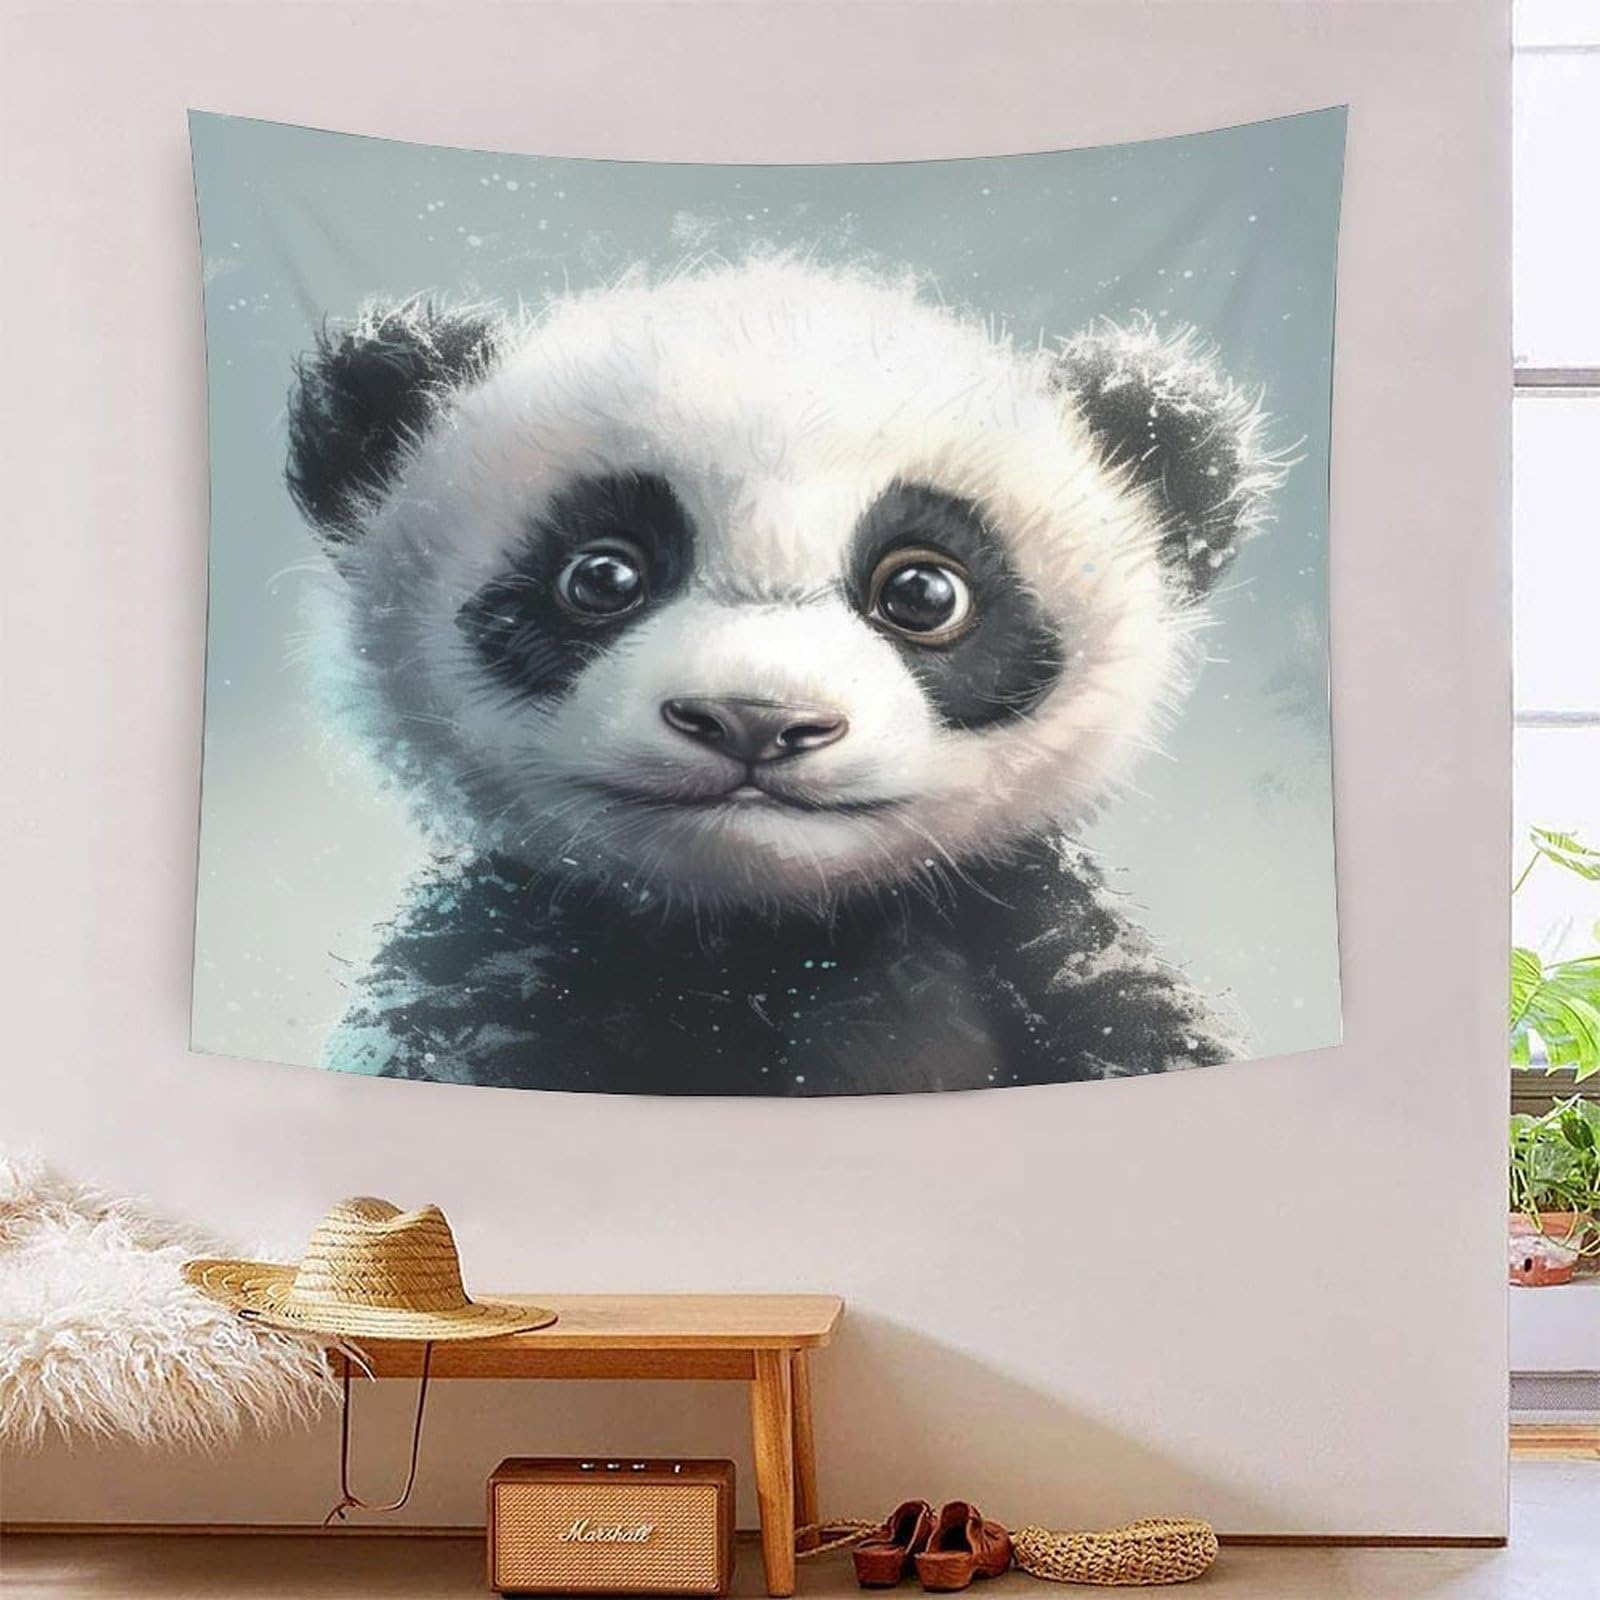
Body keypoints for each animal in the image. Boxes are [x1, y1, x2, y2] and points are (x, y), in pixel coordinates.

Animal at [285, 259, 1283, 1096]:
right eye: (602, 576)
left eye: (924, 591)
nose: (753, 719)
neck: (771, 942)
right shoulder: (499, 954)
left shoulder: (1027, 941)